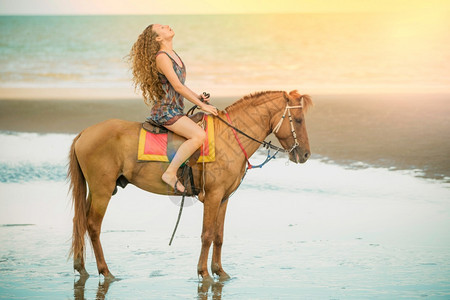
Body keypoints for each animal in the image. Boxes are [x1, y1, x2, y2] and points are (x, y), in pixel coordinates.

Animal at [67, 90, 312, 282]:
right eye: (299, 120)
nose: (306, 155)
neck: (229, 137)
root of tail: (84, 133)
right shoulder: (212, 196)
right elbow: (207, 234)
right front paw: (204, 273)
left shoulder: (224, 198)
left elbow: (219, 235)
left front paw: (219, 271)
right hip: (102, 190)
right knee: (93, 225)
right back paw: (105, 271)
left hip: (95, 190)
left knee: (79, 221)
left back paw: (81, 267)